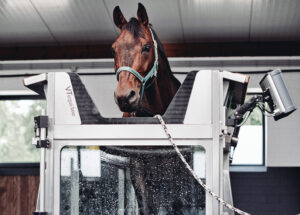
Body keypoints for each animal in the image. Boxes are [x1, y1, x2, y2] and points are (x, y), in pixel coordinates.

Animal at [112, 3, 204, 215]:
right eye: (114, 49)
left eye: (146, 47)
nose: (125, 97)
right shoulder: (139, 167)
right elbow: (147, 206)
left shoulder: (177, 170)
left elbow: (177, 204)